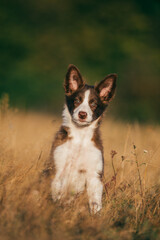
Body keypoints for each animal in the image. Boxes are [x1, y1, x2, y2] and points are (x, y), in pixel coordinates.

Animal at [50, 64, 117, 214]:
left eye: (94, 104)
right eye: (76, 101)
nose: (82, 114)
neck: (80, 137)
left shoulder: (94, 176)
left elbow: (95, 204)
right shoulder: (57, 169)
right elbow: (55, 194)